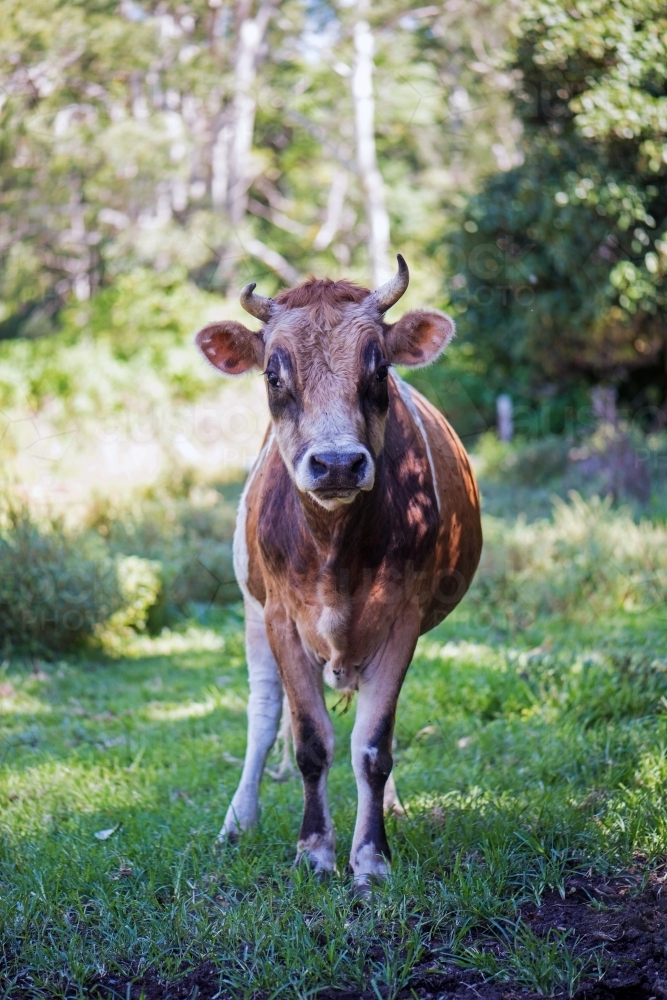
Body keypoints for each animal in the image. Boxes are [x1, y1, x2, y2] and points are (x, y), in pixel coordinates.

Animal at [195, 256, 482, 892]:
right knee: (262, 713)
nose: (337, 464)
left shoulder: (402, 620)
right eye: (273, 375)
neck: (334, 552)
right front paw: (314, 851)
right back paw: (237, 821)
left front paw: (371, 857)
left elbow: (372, 746)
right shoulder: (279, 616)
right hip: (251, 608)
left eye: (379, 369)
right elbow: (309, 743)